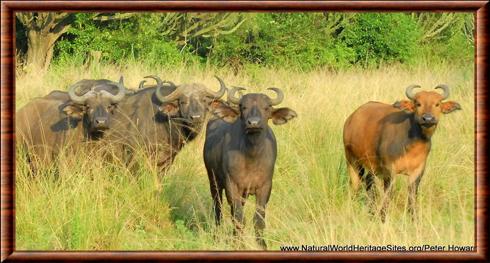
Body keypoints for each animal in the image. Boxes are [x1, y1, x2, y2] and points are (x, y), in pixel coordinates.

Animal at [202, 82, 296, 250]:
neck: (252, 156)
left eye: (266, 107)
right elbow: (239, 218)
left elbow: (258, 219)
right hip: (214, 181)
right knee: (218, 208)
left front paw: (262, 244)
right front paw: (238, 243)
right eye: (243, 107)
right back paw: (217, 235)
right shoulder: (232, 185)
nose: (253, 123)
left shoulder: (265, 187)